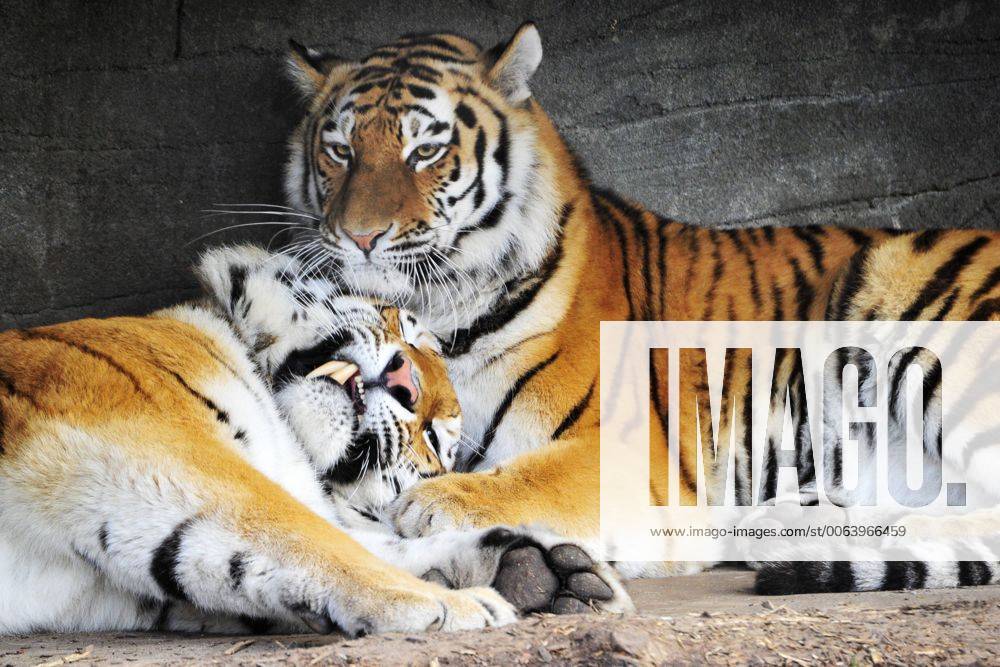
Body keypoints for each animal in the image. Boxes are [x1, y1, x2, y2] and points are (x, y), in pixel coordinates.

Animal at [0, 244, 629, 635]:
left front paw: (547, 571)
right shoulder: (149, 434)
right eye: (408, 329)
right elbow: (302, 532)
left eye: (433, 441)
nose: (404, 381)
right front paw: (457, 602)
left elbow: (355, 541)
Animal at [282, 23, 1000, 595]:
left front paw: (438, 502)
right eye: (340, 150)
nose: (360, 236)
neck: (434, 305)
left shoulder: (634, 455)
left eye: (425, 150)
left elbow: (528, 475)